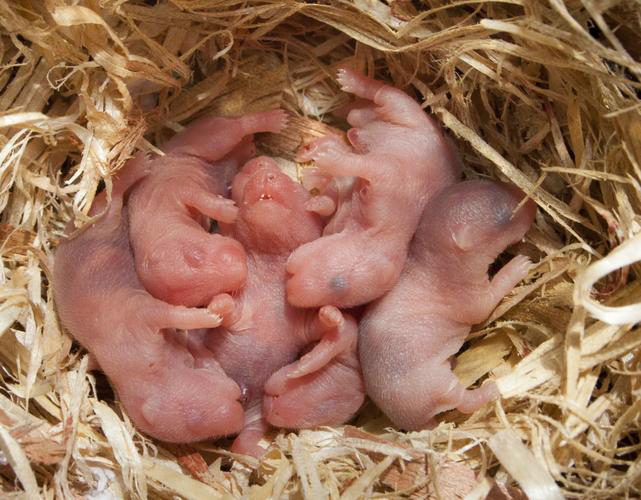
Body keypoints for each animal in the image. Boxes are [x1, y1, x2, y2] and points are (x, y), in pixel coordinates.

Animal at [52, 167, 242, 442]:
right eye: (196, 423)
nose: (238, 413)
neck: (145, 367)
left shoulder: (138, 319)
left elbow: (168, 314)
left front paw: (211, 314)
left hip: (101, 222)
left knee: (113, 199)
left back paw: (137, 167)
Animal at [126, 110, 286, 306]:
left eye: (195, 257)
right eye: (203, 299)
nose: (242, 266)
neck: (156, 222)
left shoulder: (172, 189)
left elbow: (196, 195)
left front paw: (229, 210)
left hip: (202, 139)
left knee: (232, 128)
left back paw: (274, 119)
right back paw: (249, 147)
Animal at [202, 157, 364, 458]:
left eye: (295, 184)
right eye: (242, 179)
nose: (264, 169)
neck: (268, 268)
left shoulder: (297, 321)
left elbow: (322, 324)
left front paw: (331, 316)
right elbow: (229, 309)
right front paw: (217, 306)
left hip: (256, 418)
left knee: (246, 438)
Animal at [286, 68, 460, 306]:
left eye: (337, 286)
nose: (290, 291)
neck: (371, 231)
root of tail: (365, 114)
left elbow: (330, 197)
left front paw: (316, 190)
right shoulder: (389, 178)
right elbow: (364, 165)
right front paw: (328, 160)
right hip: (408, 111)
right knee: (384, 92)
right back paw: (351, 81)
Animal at [360, 180, 536, 430]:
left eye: (496, 182)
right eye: (505, 217)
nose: (534, 204)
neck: (432, 260)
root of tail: (412, 423)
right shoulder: (466, 294)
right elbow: (485, 304)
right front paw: (519, 265)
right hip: (434, 385)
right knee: (461, 400)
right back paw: (489, 390)